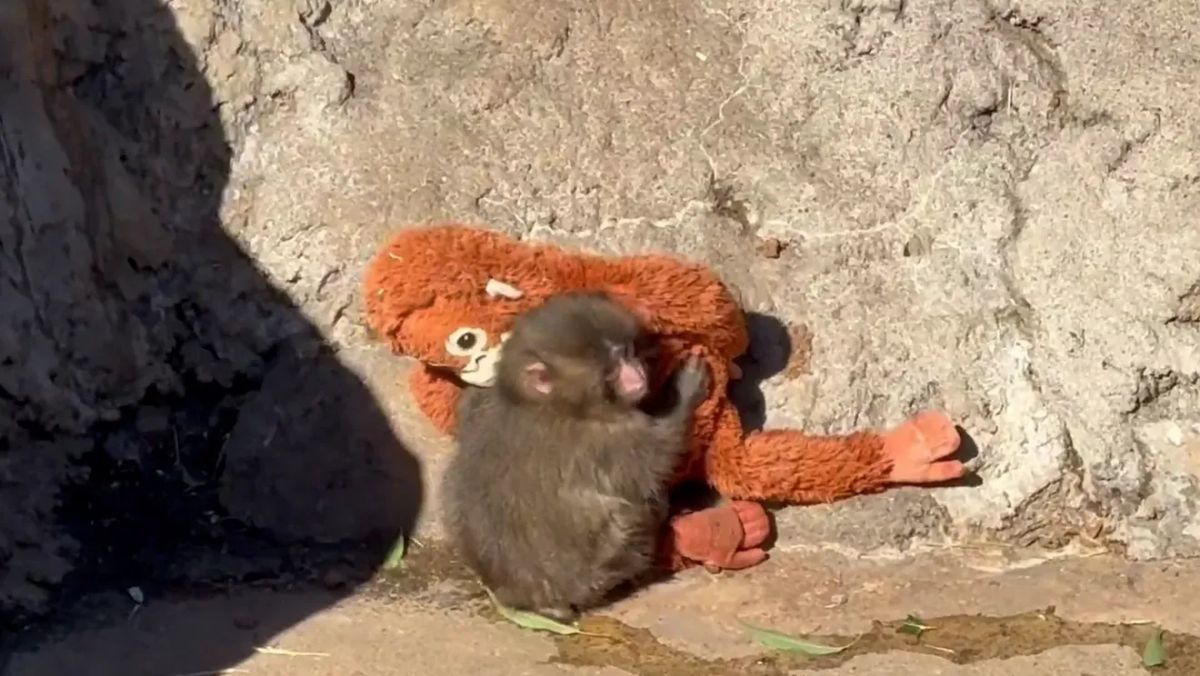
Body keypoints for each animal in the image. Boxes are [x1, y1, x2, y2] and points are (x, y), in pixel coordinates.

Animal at [440, 291, 710, 622]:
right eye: (611, 367)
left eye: (626, 353)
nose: (637, 373)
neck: (550, 403)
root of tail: (519, 597)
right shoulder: (606, 439)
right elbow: (658, 458)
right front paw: (684, 389)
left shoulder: (481, 399)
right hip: (601, 568)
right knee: (632, 511)